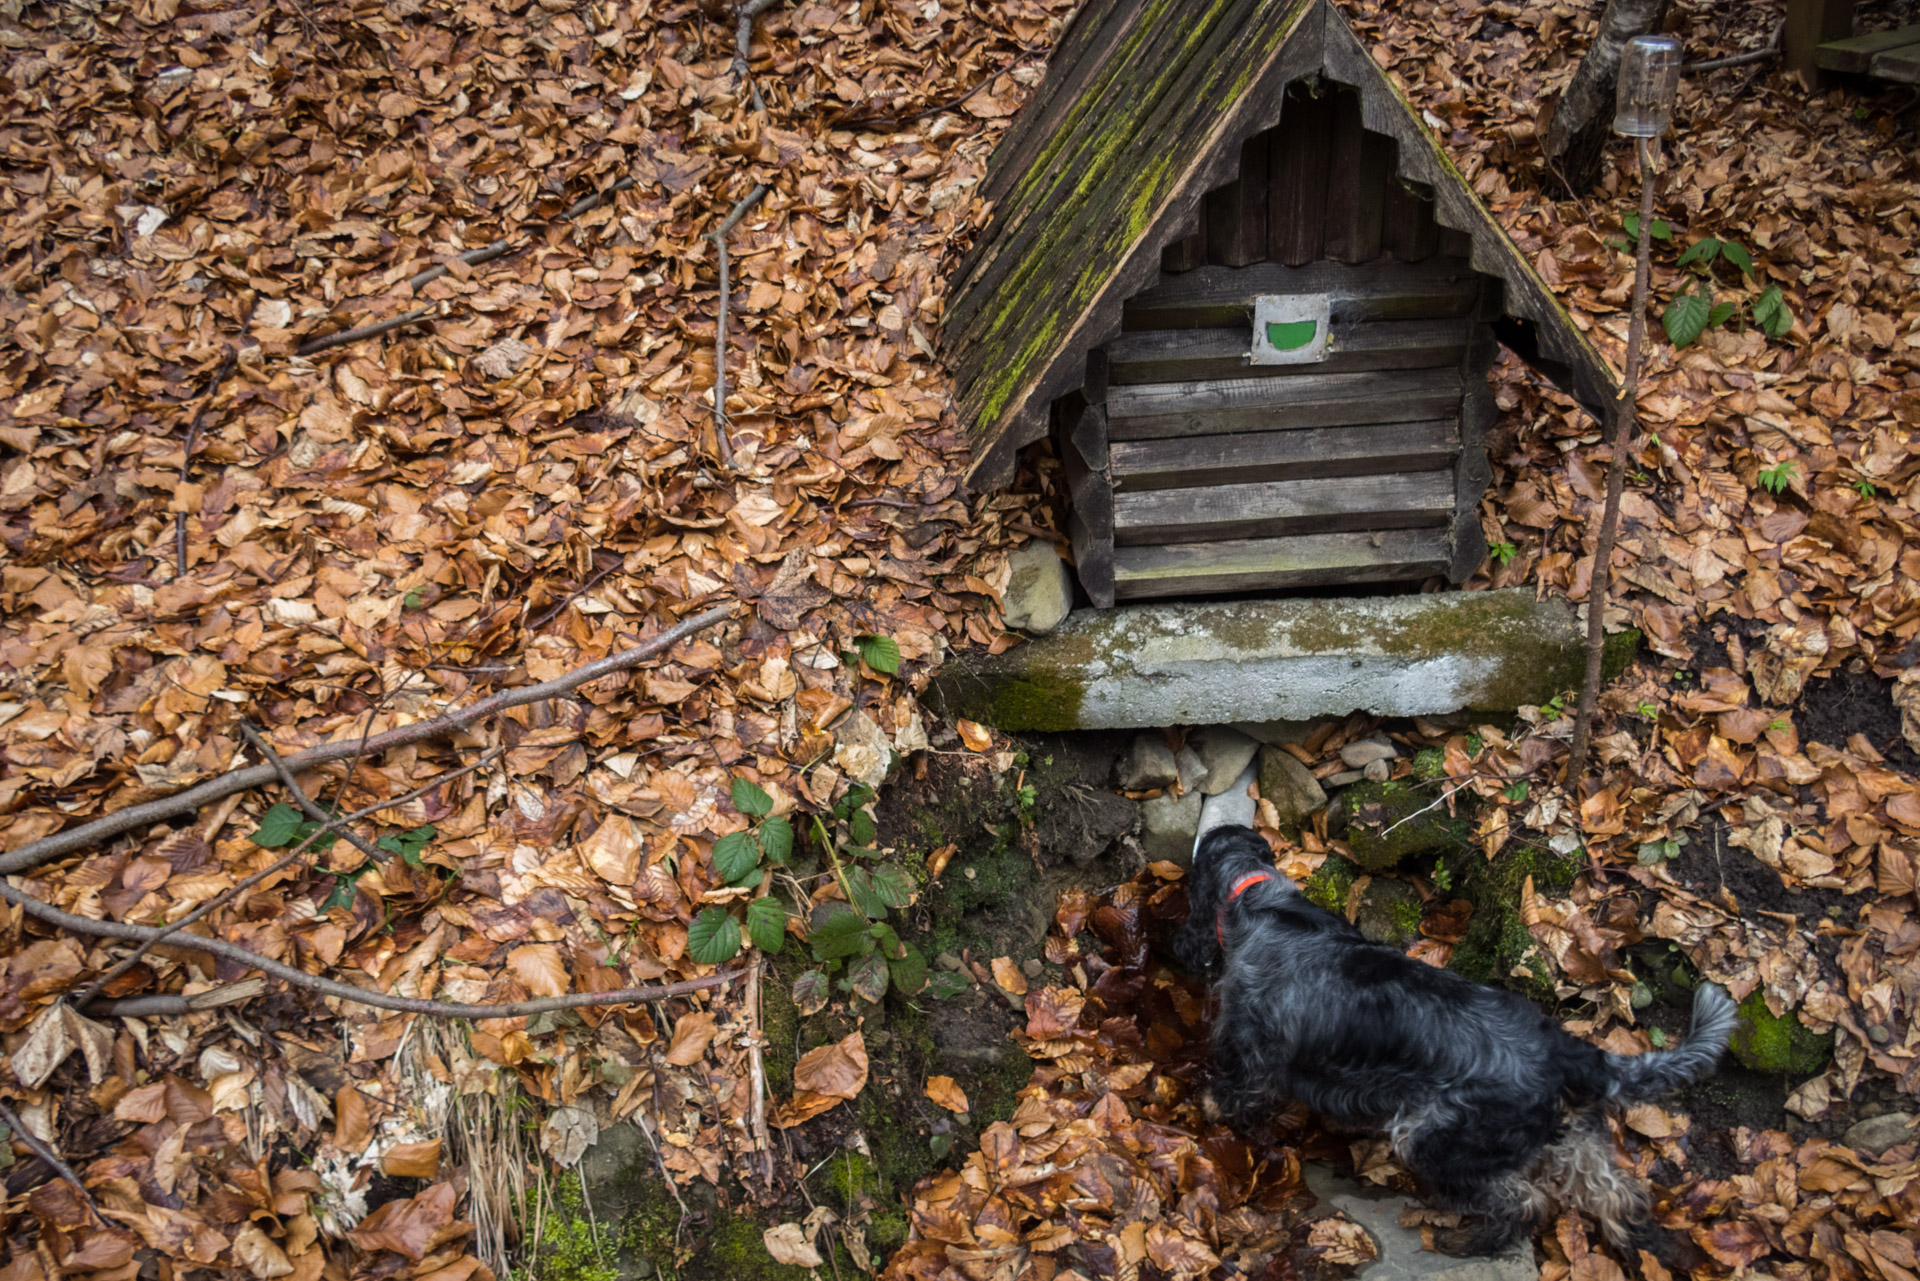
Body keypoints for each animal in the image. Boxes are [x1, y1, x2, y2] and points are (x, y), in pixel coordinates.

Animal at [1167, 825, 1743, 1259]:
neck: (1259, 899)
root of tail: (1565, 1050)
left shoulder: (1250, 1047)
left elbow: (1233, 1093)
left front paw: (1205, 1109)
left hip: (1434, 1139)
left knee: (1526, 1202)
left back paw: (1470, 1242)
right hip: (1572, 1132)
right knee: (1614, 1192)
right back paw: (1634, 1243)